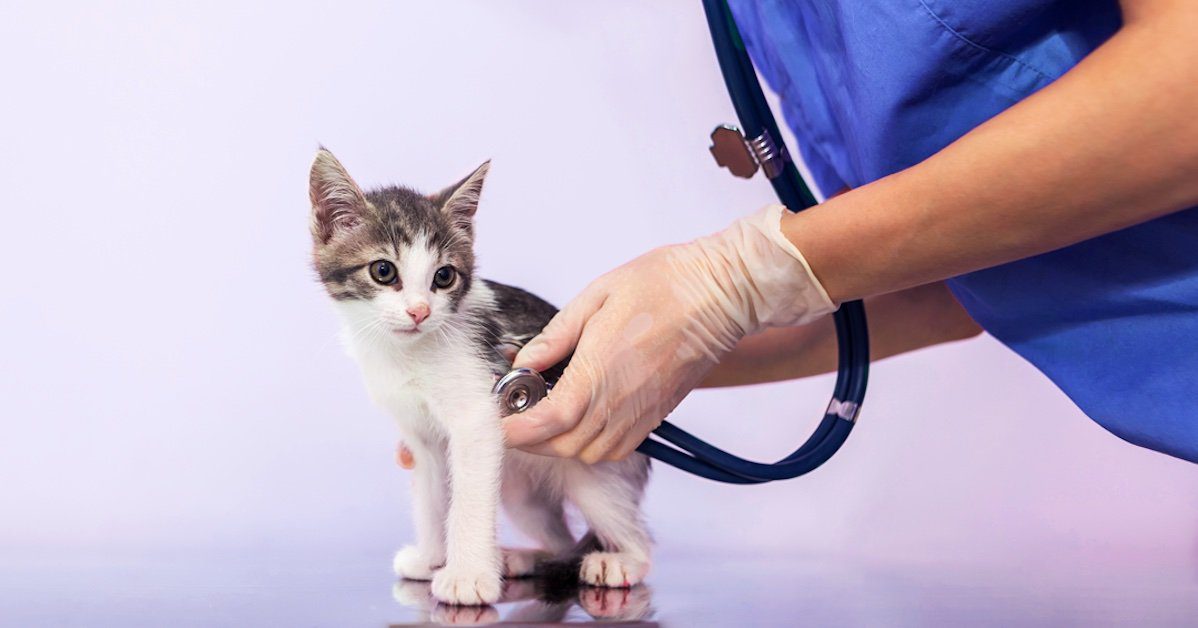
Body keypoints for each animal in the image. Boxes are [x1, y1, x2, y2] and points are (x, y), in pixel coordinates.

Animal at [304, 149, 651, 606]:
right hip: (521, 487)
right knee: (558, 536)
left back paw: (619, 562)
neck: (407, 352)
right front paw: (432, 558)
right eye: (383, 271)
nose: (419, 311)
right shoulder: (424, 439)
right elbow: (433, 496)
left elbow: (468, 499)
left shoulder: (478, 420)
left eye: (444, 276)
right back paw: (523, 558)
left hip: (591, 472)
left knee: (639, 540)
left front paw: (466, 577)